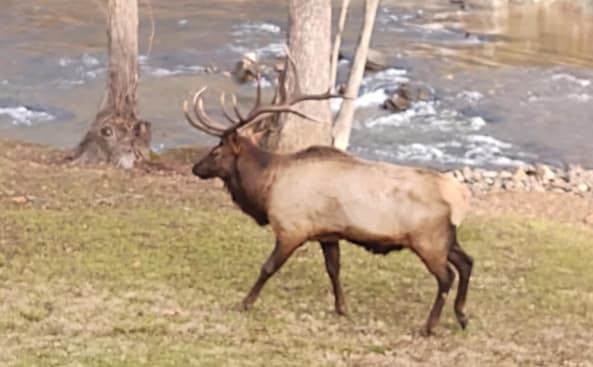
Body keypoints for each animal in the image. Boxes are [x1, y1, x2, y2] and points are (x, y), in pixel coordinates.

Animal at [183, 56, 474, 336]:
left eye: (216, 152)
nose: (195, 168)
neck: (266, 187)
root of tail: (460, 196)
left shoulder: (292, 229)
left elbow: (268, 267)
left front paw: (245, 302)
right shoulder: (328, 233)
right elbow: (333, 269)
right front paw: (342, 308)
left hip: (428, 239)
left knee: (446, 276)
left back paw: (429, 326)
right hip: (446, 237)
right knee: (467, 262)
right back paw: (461, 316)